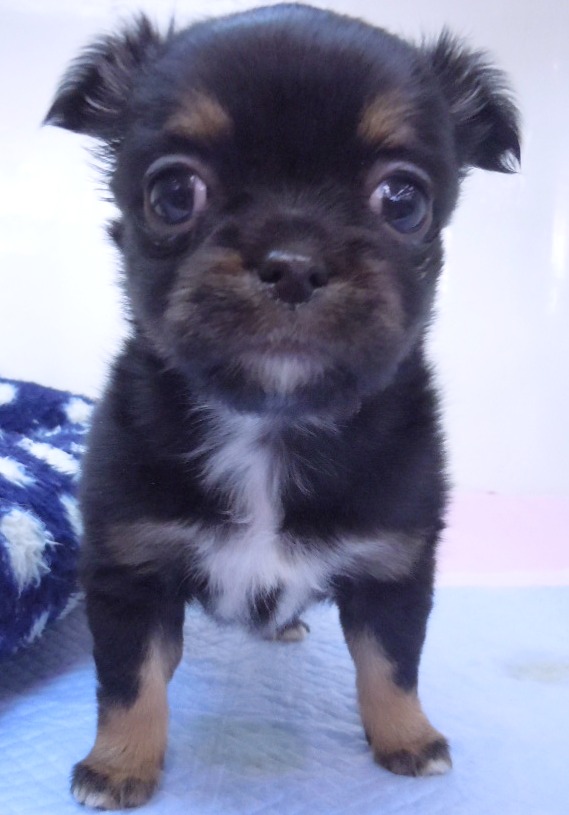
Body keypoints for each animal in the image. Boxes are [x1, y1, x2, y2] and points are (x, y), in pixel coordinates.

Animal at [45, 3, 519, 808]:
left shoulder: (394, 564)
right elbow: (131, 680)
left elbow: (391, 663)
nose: (294, 265)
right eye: (174, 193)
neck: (270, 423)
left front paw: (409, 738)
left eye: (403, 200)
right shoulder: (130, 568)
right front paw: (119, 765)